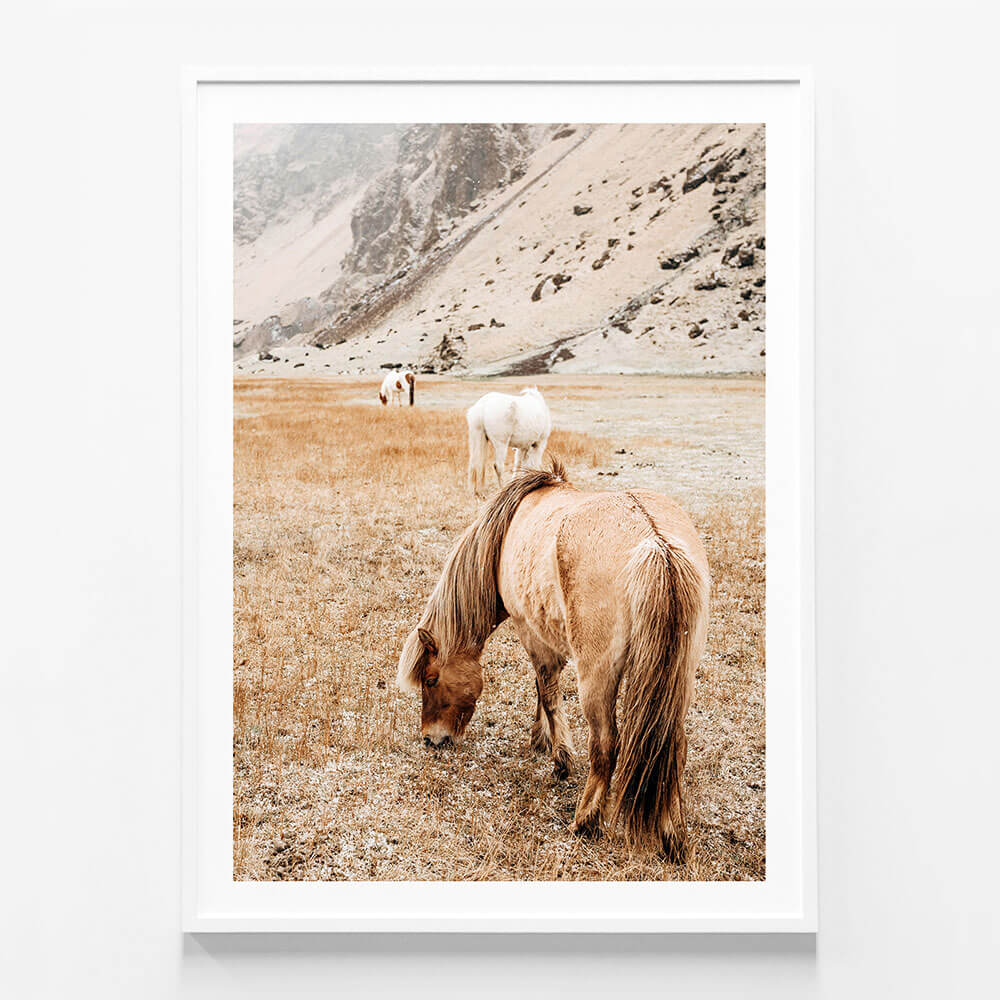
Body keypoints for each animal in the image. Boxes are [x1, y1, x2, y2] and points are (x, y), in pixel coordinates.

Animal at [396, 461, 710, 859]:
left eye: (431, 679)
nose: (431, 739)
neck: (509, 528)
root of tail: (655, 543)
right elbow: (542, 689)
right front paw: (541, 739)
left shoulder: (530, 630)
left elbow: (547, 692)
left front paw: (560, 759)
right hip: (678, 679)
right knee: (674, 745)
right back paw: (672, 837)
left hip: (597, 678)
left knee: (605, 745)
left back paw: (585, 821)